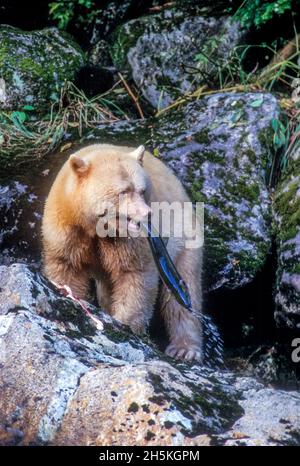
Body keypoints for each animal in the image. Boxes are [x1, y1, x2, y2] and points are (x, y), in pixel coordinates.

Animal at [41, 144, 203, 362]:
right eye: (124, 191)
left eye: (142, 190)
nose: (147, 213)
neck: (96, 228)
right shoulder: (67, 229)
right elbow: (67, 268)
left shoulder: (131, 241)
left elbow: (135, 277)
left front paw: (126, 325)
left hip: (184, 239)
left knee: (184, 290)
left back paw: (184, 348)